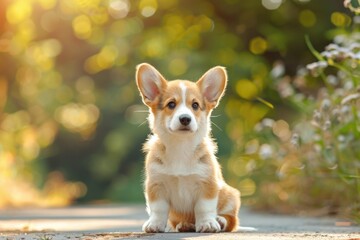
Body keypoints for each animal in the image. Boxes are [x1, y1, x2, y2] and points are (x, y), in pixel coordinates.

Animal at [136, 63, 240, 232]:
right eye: (171, 104)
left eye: (195, 105)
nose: (185, 118)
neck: (181, 146)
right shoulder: (156, 184)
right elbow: (158, 209)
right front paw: (155, 224)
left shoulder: (207, 184)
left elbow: (203, 207)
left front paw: (207, 223)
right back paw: (184, 225)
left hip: (231, 195)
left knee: (231, 220)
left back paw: (219, 220)